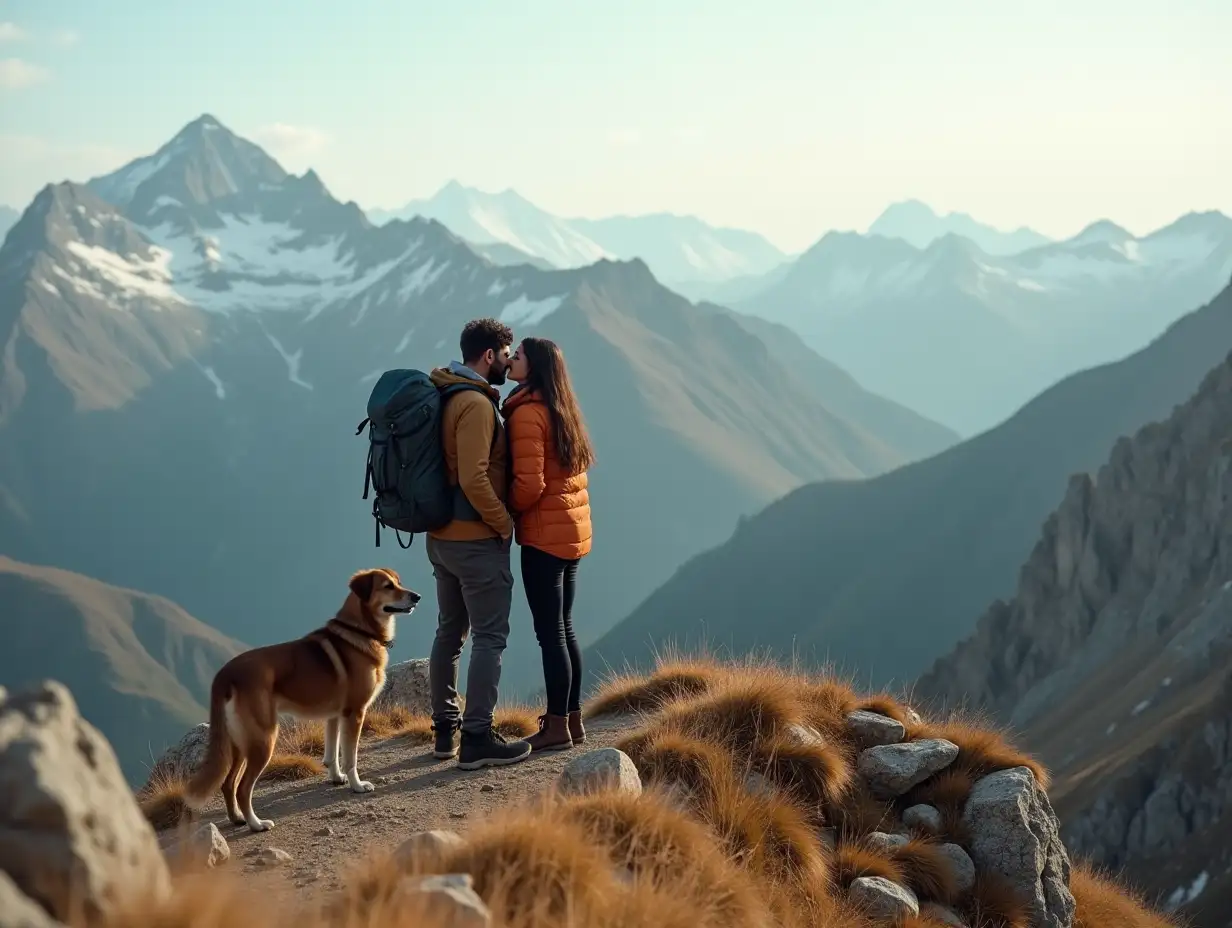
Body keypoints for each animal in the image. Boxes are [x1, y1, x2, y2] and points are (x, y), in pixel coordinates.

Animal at [182, 564, 421, 833]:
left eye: (398, 582)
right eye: (388, 586)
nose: (417, 597)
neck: (359, 630)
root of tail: (225, 674)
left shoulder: (335, 716)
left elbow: (332, 753)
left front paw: (336, 778)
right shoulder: (355, 713)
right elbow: (350, 757)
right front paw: (357, 785)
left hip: (240, 742)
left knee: (228, 783)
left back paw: (238, 818)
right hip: (263, 739)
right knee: (243, 788)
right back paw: (256, 824)